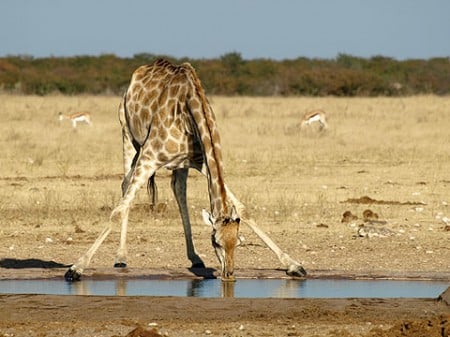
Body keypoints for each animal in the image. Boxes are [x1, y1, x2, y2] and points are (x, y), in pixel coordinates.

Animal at [65, 59, 306, 282]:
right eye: (215, 241)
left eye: (237, 242)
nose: (229, 275)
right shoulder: (149, 157)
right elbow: (117, 211)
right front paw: (76, 268)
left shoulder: (202, 162)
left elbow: (243, 209)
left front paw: (294, 265)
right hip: (128, 135)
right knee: (125, 187)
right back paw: (121, 257)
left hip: (179, 164)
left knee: (178, 190)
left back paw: (195, 258)